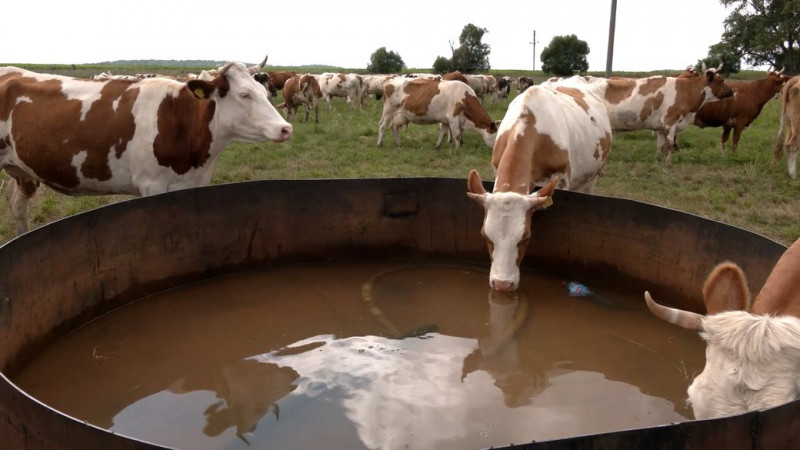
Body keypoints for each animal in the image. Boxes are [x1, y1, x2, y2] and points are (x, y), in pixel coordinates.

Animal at [0, 58, 294, 234]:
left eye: (263, 90)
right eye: (244, 94)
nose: (286, 128)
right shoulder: (152, 185)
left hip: (22, 170)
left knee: (16, 203)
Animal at [592, 61, 736, 163]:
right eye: (721, 80)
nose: (732, 91)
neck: (685, 90)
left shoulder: (660, 127)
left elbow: (660, 145)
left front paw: (657, 160)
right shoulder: (670, 121)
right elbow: (669, 144)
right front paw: (668, 164)